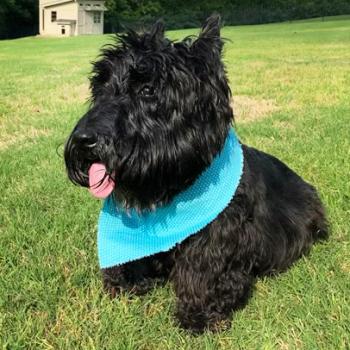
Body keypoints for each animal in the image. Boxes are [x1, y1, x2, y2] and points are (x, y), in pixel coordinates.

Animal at [63, 15, 328, 334]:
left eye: (148, 89)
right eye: (100, 87)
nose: (84, 141)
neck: (171, 187)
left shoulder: (220, 233)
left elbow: (203, 265)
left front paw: (199, 314)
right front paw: (129, 281)